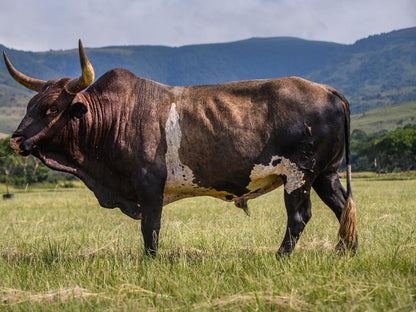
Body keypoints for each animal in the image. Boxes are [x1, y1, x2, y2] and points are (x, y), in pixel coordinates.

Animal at [3, 40, 356, 258]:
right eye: (30, 105)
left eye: (50, 108)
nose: (16, 140)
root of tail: (327, 90)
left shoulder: (148, 184)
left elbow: (151, 228)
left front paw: (150, 262)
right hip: (326, 173)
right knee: (343, 207)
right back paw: (349, 253)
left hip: (299, 174)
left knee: (299, 216)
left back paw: (280, 257)